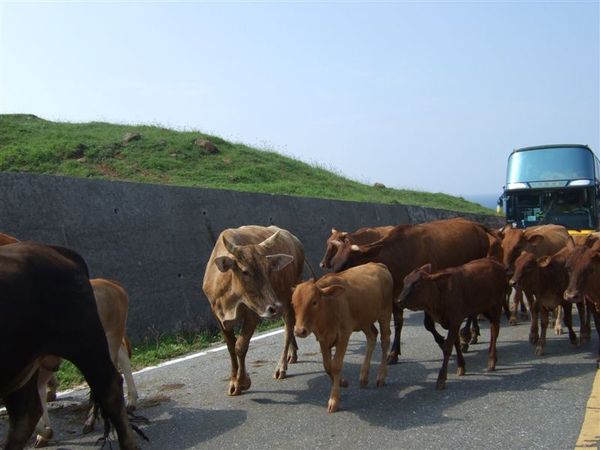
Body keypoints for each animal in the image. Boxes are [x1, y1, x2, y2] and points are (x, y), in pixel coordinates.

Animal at [34, 280, 138, 448]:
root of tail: (112, 284)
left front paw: (45, 433)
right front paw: (44, 434)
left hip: (106, 343)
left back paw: (91, 421)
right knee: (122, 356)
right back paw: (130, 402)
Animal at [203, 225, 304, 394]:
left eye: (269, 269)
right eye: (245, 271)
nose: (274, 307)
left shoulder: (253, 313)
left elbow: (240, 346)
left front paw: (242, 382)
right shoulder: (217, 316)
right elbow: (231, 347)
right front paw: (233, 381)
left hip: (287, 295)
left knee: (289, 326)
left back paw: (281, 367)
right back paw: (293, 353)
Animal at [292, 262, 394, 414]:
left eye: (314, 302)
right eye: (293, 304)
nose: (299, 331)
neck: (329, 307)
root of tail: (378, 265)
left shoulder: (344, 334)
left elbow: (336, 365)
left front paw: (334, 400)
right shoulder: (323, 339)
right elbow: (327, 366)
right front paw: (342, 382)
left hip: (385, 313)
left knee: (385, 340)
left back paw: (381, 376)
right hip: (364, 321)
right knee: (372, 336)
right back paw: (364, 377)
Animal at [324, 216, 502, 364]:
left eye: (348, 264)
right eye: (334, 264)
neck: (397, 256)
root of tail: (475, 224)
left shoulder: (427, 294)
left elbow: (428, 324)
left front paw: (443, 342)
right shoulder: (396, 297)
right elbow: (398, 324)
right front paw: (394, 353)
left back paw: (466, 335)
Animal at [398, 260, 506, 390]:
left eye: (417, 284)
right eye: (404, 282)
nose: (399, 301)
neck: (439, 294)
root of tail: (496, 263)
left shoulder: (455, 320)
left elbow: (447, 348)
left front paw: (441, 378)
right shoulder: (453, 324)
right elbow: (456, 344)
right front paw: (461, 366)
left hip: (496, 307)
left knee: (494, 331)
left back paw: (492, 360)